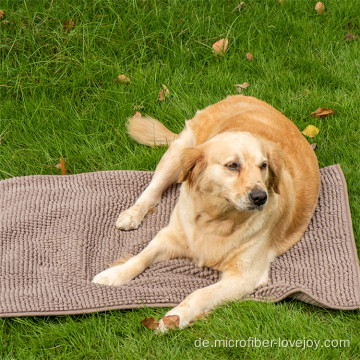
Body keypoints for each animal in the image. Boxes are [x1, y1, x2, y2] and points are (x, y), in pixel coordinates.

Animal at [93, 95, 320, 332]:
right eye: (233, 165)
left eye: (263, 166)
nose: (260, 197)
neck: (216, 219)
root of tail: (244, 96)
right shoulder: (169, 236)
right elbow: (140, 257)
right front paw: (113, 275)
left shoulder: (244, 276)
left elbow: (199, 294)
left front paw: (173, 318)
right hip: (177, 153)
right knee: (152, 190)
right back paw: (132, 214)